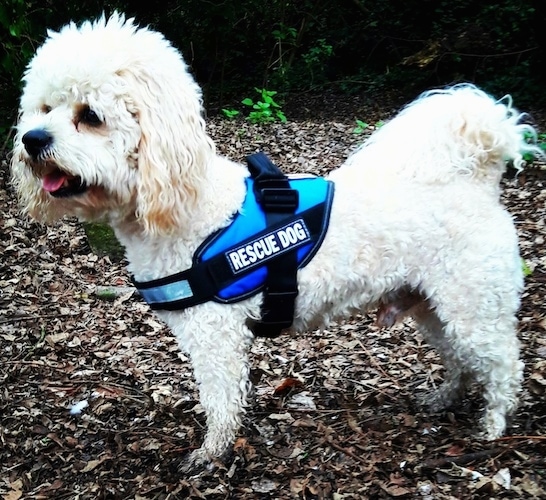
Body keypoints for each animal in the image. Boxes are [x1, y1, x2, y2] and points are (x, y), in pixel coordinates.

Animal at [10, 13, 536, 470]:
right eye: (44, 109)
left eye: (90, 116)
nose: (31, 140)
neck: (186, 205)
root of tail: (479, 180)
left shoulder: (216, 337)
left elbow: (221, 399)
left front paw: (212, 453)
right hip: (433, 305)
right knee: (460, 359)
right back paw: (444, 397)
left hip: (475, 307)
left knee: (504, 365)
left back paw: (493, 424)